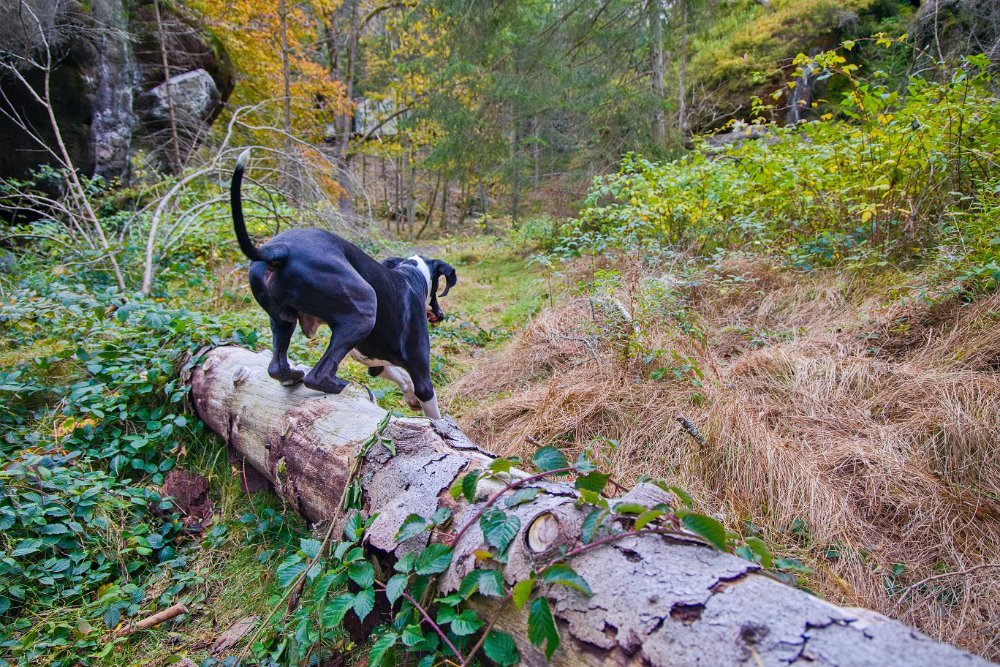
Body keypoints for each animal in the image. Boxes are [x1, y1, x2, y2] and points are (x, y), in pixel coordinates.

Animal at [230, 149, 456, 419]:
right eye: (437, 290)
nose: (441, 315)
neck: (412, 275)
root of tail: (279, 250)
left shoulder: (376, 363)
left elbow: (399, 376)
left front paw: (409, 395)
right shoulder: (421, 373)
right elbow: (432, 410)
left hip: (282, 319)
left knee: (276, 367)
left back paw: (292, 375)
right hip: (363, 309)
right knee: (317, 376)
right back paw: (344, 386)